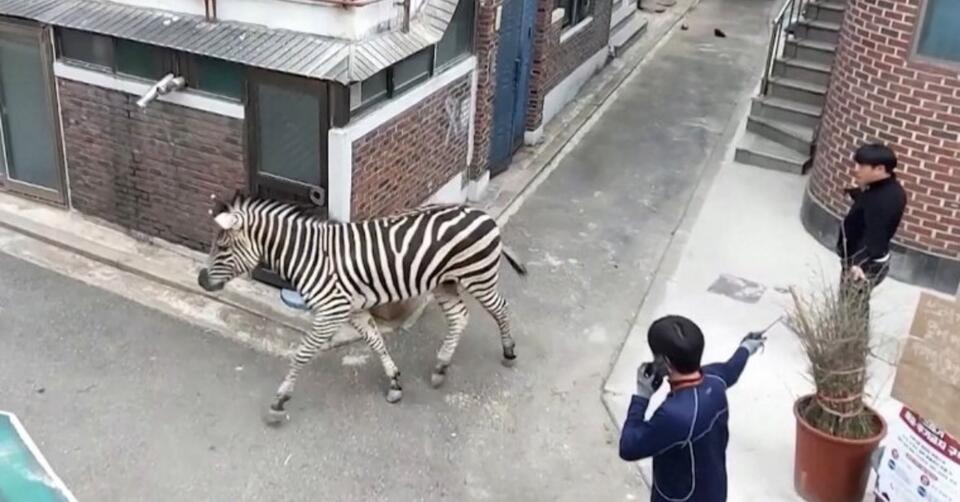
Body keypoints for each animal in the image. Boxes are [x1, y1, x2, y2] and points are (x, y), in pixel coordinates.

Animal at [197, 193, 527, 425]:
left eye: (222, 247)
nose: (200, 280)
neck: (309, 256)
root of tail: (481, 213)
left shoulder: (330, 312)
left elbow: (301, 354)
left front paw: (280, 400)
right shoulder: (353, 310)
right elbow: (376, 342)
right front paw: (394, 382)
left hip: (478, 276)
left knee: (501, 308)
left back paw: (509, 351)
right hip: (445, 283)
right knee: (460, 317)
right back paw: (441, 367)